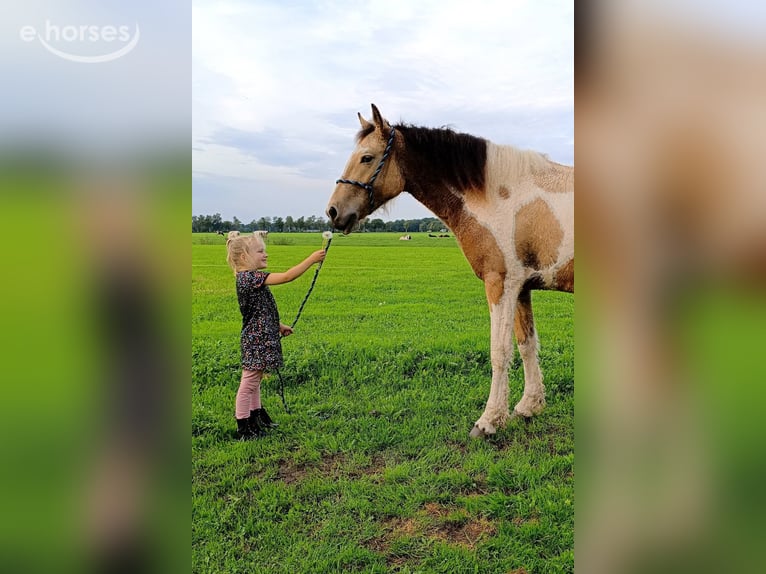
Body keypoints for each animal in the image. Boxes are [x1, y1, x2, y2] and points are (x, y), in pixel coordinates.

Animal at [326, 104, 574, 438]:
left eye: (367, 157)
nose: (333, 211)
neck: (496, 195)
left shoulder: (500, 284)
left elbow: (499, 352)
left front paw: (489, 421)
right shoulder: (521, 287)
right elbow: (526, 345)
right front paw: (529, 406)